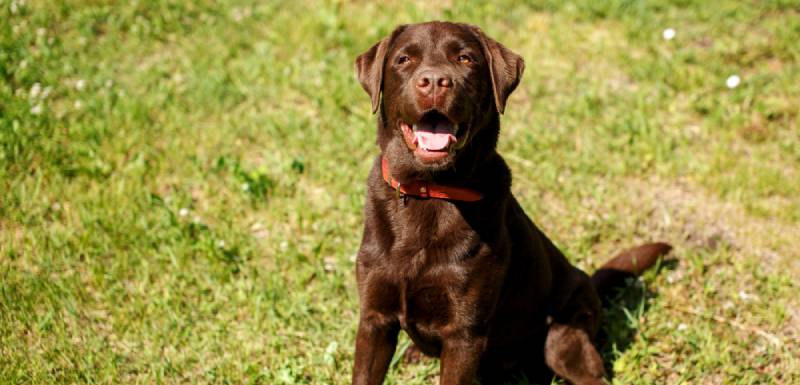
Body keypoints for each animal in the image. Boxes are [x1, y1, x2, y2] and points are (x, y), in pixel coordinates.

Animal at [354, 21, 672, 384]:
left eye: (465, 59)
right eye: (404, 59)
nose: (434, 80)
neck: (429, 189)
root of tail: (589, 282)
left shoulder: (465, 334)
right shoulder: (374, 321)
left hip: (563, 337)